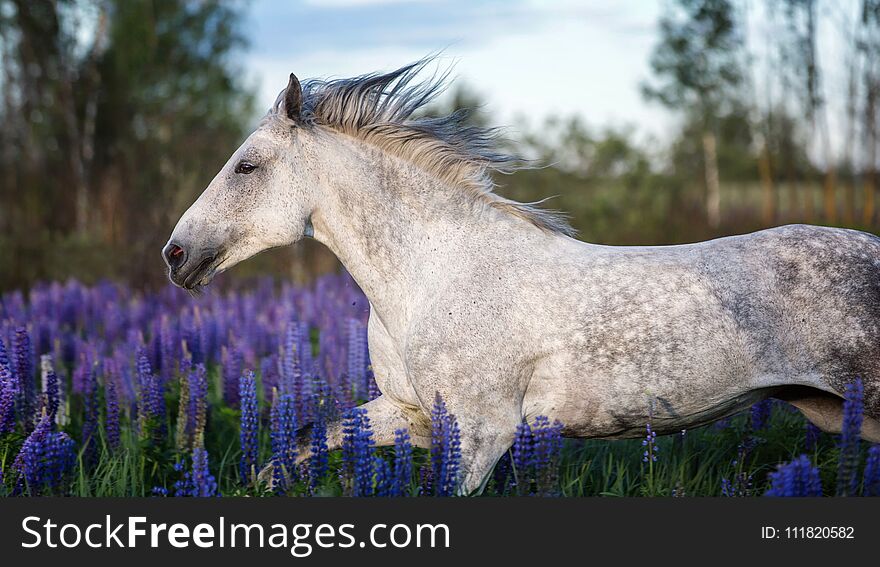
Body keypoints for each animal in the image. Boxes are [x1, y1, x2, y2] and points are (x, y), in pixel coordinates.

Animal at [165, 60, 880, 494]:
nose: (175, 254)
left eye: (248, 166)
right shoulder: (411, 415)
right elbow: (302, 443)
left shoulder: (485, 433)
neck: (436, 274)